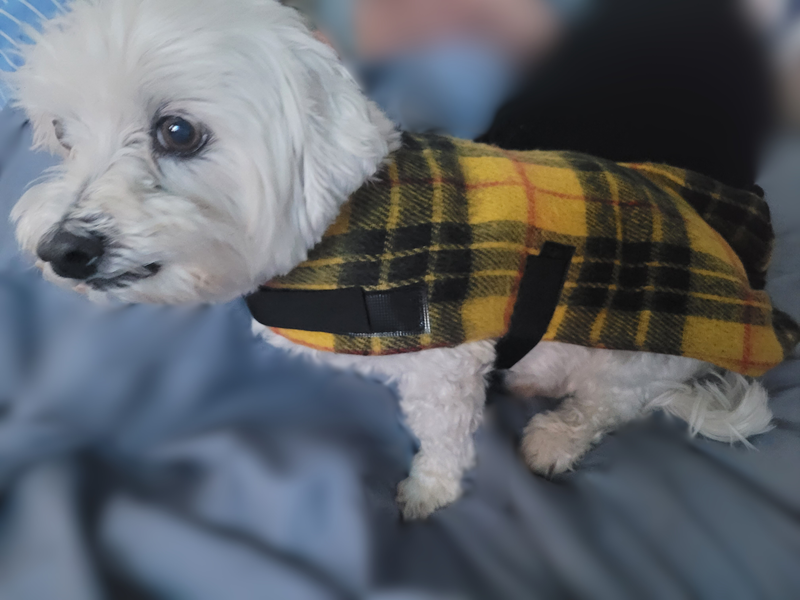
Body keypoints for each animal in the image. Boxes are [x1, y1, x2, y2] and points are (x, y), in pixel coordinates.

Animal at [9, 0, 780, 516]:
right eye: (62, 134)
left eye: (177, 131)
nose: (61, 250)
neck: (343, 226)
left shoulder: (448, 362)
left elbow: (444, 436)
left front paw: (428, 491)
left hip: (631, 359)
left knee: (610, 405)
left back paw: (557, 434)